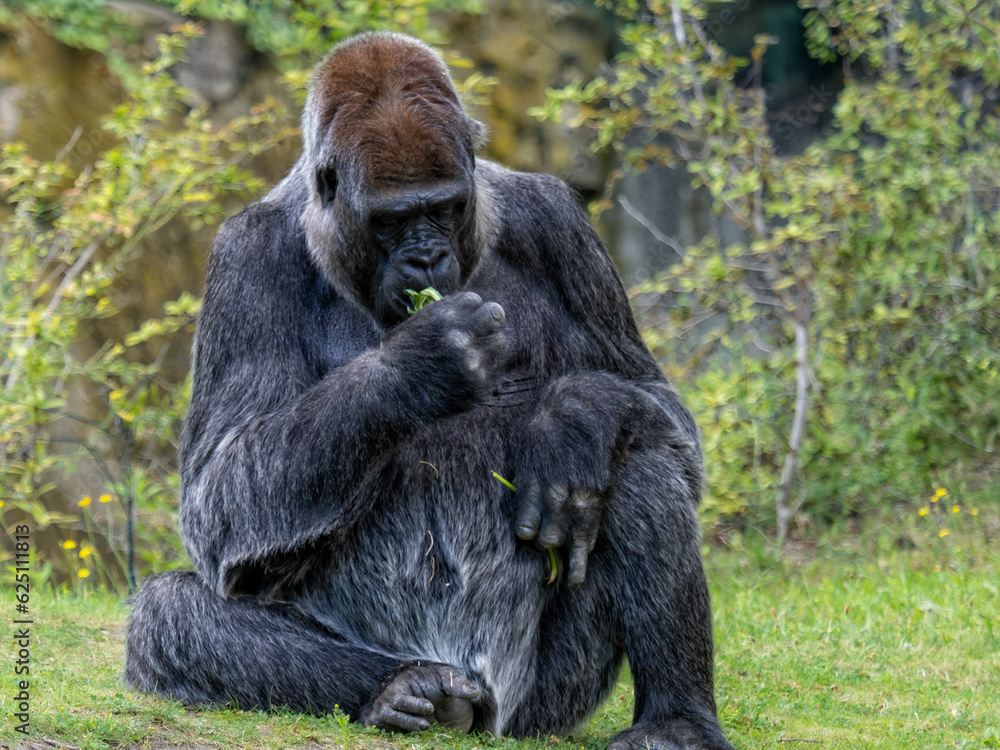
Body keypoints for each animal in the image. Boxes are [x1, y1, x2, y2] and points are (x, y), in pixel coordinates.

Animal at [123, 31, 735, 750]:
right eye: (392, 221)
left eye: (442, 208)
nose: (424, 258)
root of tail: (483, 711)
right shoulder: (245, 256)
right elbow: (215, 492)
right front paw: (423, 363)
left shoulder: (558, 222)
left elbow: (658, 405)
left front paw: (571, 419)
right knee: (168, 614)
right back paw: (402, 690)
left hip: (544, 705)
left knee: (637, 456)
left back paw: (676, 718)